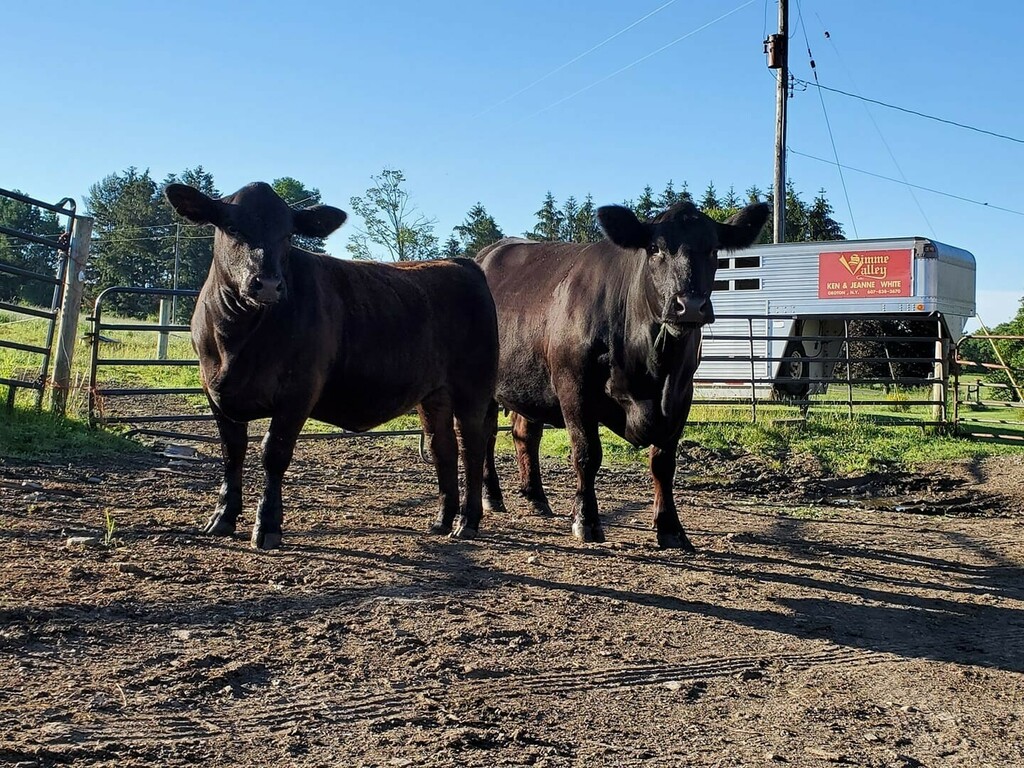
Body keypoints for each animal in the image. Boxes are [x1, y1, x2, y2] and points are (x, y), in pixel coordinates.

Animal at [164, 182, 498, 550]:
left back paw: (467, 522)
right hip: (433, 394)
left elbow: (274, 452)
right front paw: (222, 517)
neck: (236, 339)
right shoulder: (214, 390)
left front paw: (267, 526)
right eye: (232, 227)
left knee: (472, 447)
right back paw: (441, 520)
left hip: (473, 388)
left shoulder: (299, 391)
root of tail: (460, 264)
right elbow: (232, 452)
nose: (268, 284)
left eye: (288, 234)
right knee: (443, 447)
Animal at [476, 200, 769, 550]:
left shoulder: (681, 395)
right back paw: (491, 496)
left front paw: (670, 527)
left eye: (713, 250)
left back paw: (536, 498)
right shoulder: (574, 387)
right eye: (654, 248)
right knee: (487, 436)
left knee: (525, 434)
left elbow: (663, 463)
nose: (690, 305)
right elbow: (587, 454)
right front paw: (586, 520)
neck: (654, 367)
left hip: (528, 383)